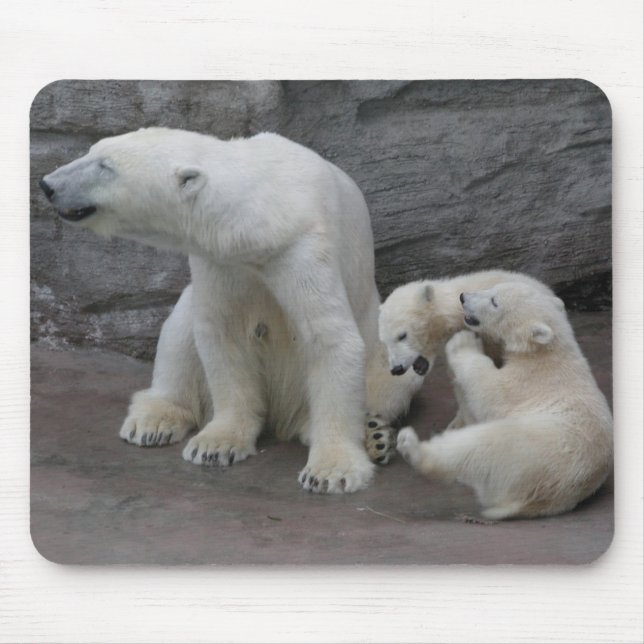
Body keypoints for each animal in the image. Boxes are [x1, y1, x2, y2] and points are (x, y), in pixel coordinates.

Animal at [39, 127, 423, 493]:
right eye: (91, 150)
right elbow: (221, 333)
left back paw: (374, 435)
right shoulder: (217, 258)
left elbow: (329, 337)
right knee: (180, 329)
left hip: (385, 352)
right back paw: (154, 420)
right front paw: (215, 444)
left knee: (397, 374)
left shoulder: (302, 246)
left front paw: (331, 472)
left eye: (106, 167)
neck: (261, 219)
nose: (47, 185)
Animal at [396, 280, 613, 520]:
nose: (463, 297)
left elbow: (489, 391)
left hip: (526, 450)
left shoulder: (528, 381)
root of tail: (542, 498)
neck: (547, 351)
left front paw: (463, 341)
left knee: (479, 444)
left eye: (494, 302)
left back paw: (411, 445)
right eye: (492, 288)